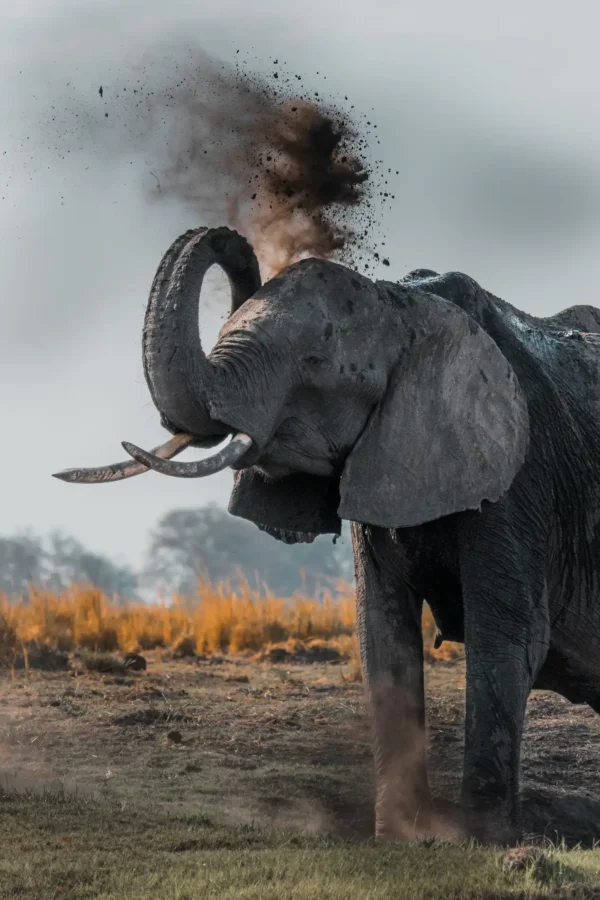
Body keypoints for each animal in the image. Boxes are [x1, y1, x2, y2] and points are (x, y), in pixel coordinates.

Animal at [54, 225, 600, 843]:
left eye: (315, 364)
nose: (222, 238)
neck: (407, 306)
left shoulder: (520, 472)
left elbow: (507, 635)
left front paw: (484, 844)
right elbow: (382, 635)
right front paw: (399, 839)